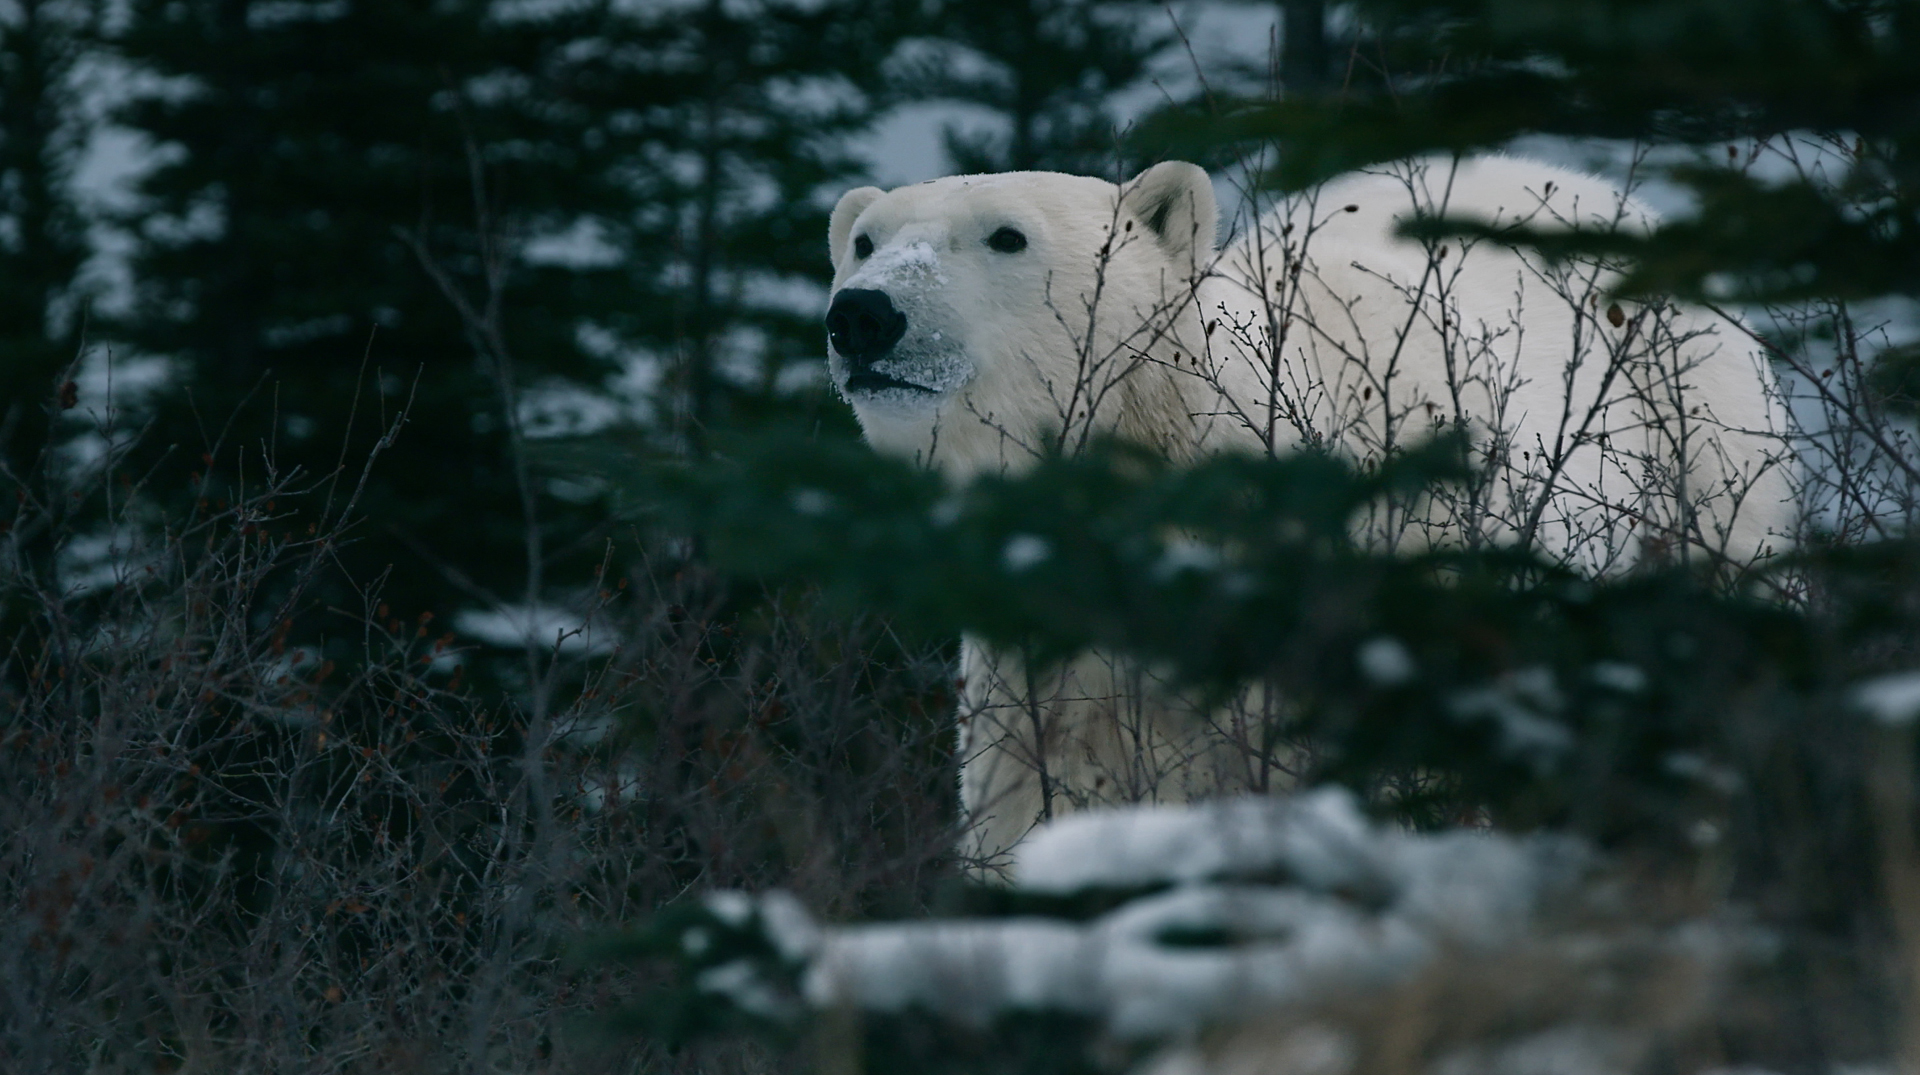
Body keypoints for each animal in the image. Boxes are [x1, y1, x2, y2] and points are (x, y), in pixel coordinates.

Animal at [825, 155, 1797, 867]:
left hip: (1701, 451)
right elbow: (1038, 794)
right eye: (864, 239)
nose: (861, 314)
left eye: (1007, 235)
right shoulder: (1049, 661)